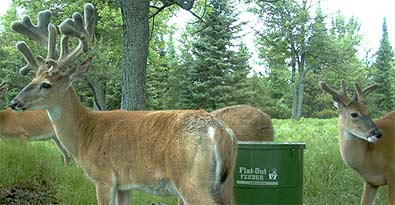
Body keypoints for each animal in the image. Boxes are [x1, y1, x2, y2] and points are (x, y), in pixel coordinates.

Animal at [10, 3, 238, 205]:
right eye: (32, 78)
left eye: (46, 85)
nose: (14, 102)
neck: (84, 133)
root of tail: (218, 129)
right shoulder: (124, 185)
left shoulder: (104, 176)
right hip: (225, 184)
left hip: (190, 180)